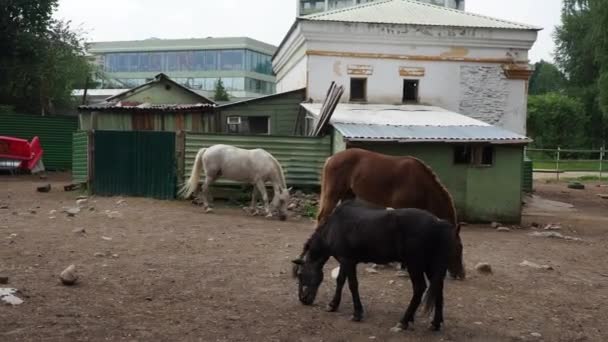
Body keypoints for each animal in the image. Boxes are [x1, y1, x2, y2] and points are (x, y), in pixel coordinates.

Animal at [292, 200, 464, 332]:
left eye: (300, 275)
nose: (303, 299)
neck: (333, 227)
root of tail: (439, 223)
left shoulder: (348, 260)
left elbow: (352, 285)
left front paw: (357, 313)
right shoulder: (346, 261)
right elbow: (340, 281)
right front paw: (333, 305)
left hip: (415, 264)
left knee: (419, 288)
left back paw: (404, 321)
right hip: (430, 265)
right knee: (438, 289)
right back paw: (435, 323)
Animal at [314, 148, 466, 280]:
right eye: (458, 248)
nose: (460, 274)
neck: (421, 184)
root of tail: (331, 158)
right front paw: (403, 266)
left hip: (348, 194)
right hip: (333, 194)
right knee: (322, 218)